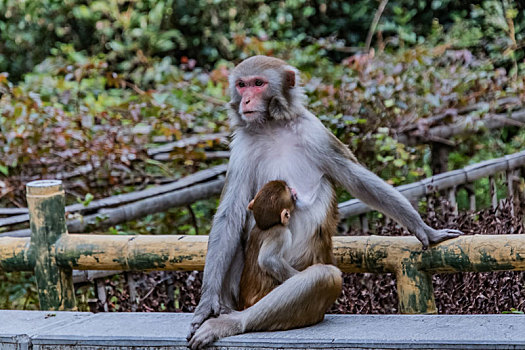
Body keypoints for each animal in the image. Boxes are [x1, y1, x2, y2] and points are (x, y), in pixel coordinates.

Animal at [187, 56, 458, 348]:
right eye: (242, 84)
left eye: (258, 83)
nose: (246, 100)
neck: (272, 126)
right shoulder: (242, 146)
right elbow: (230, 213)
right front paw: (207, 302)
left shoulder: (314, 130)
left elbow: (358, 179)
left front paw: (424, 229)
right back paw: (226, 314)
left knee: (323, 277)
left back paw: (231, 322)